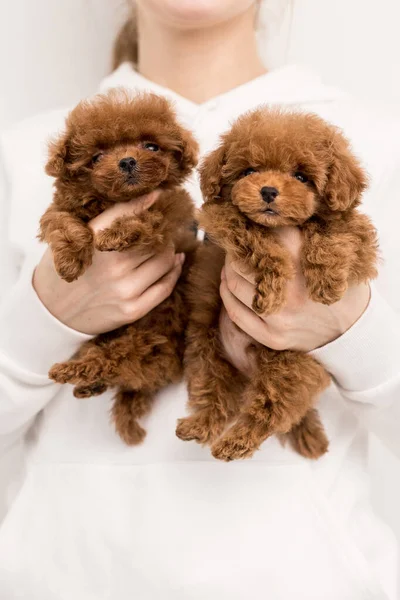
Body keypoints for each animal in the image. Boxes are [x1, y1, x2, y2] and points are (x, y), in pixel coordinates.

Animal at [39, 90, 198, 446]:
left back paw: (71, 372)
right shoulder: (60, 208)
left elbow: (148, 219)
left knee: (113, 363)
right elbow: (61, 221)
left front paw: (115, 234)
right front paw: (70, 260)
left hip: (144, 343)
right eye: (97, 156)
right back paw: (85, 384)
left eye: (151, 146)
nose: (127, 161)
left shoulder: (170, 213)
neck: (114, 201)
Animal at [176, 108, 378, 462]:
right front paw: (271, 287)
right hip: (207, 349)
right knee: (217, 395)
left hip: (289, 363)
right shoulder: (222, 218)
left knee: (276, 408)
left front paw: (327, 282)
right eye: (250, 171)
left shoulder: (357, 234)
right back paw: (210, 430)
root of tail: (249, 374)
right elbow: (256, 235)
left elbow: (337, 232)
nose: (269, 191)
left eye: (301, 177)